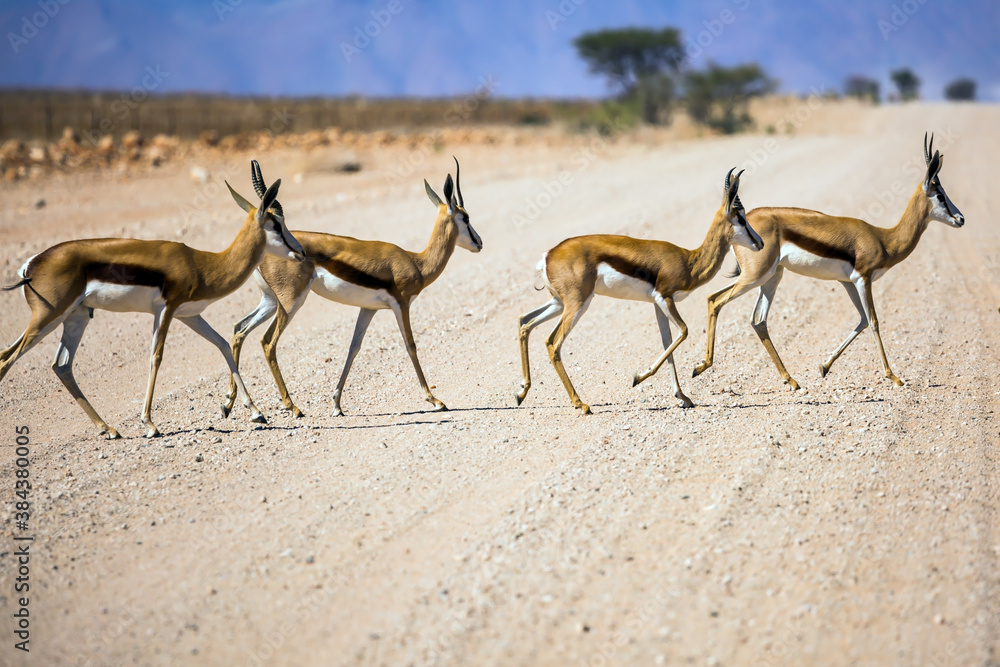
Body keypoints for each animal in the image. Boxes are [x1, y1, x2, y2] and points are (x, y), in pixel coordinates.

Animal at [0, 163, 305, 438]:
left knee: (61, 365)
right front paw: (150, 424)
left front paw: (255, 412)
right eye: (276, 223)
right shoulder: (166, 310)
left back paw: (109, 429)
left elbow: (222, 344)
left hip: (75, 317)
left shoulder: (189, 314)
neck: (202, 265)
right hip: (48, 317)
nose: (301, 252)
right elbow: (156, 356)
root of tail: (30, 265)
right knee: (7, 359)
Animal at [224, 158, 482, 418]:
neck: (417, 262)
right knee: (268, 342)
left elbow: (353, 347)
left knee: (239, 329)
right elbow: (410, 345)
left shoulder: (368, 309)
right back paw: (292, 407)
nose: (479, 243)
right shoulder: (402, 304)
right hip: (290, 302)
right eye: (466, 218)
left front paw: (337, 404)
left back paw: (233, 404)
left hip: (270, 301)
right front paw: (434, 400)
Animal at [515, 168, 763, 414]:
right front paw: (638, 378)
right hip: (577, 304)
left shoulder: (658, 304)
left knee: (525, 322)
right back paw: (581, 404)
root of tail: (548, 256)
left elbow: (667, 342)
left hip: (559, 302)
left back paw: (521, 393)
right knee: (553, 343)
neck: (690, 261)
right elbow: (683, 332)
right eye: (741, 218)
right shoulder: (665, 298)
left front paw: (683, 397)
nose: (760, 243)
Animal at [692, 133, 964, 388]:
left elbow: (862, 321)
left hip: (771, 276)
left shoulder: (848, 282)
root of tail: (746, 220)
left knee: (758, 320)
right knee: (715, 300)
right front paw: (894, 376)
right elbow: (874, 321)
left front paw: (824, 366)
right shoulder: (863, 279)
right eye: (940, 194)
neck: (884, 238)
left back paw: (791, 380)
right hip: (755, 276)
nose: (961, 218)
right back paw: (701, 367)